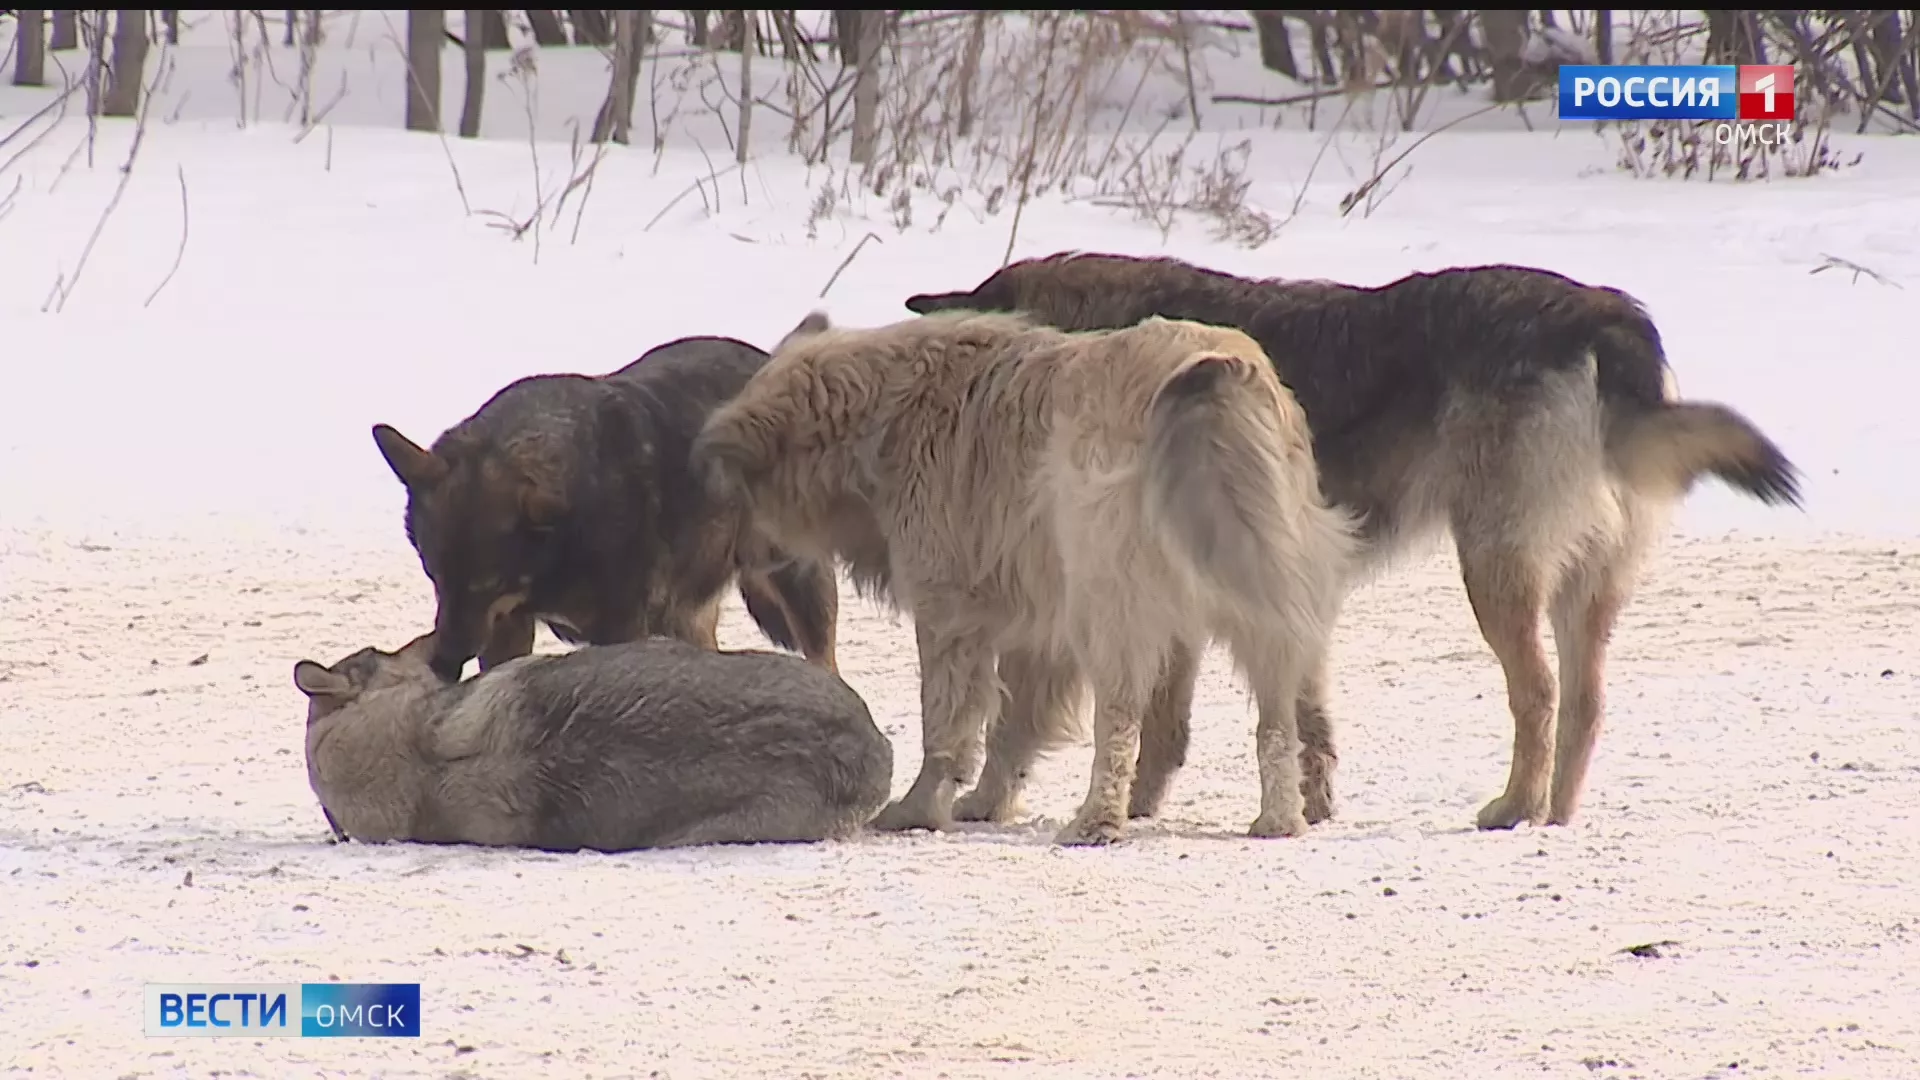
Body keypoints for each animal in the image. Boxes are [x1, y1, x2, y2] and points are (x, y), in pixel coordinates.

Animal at [687, 305, 1351, 841]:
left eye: (739, 496)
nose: (736, 562)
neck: (885, 418)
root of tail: (1215, 368)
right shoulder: (1035, 631)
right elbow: (1013, 730)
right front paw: (986, 802)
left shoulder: (950, 613)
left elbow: (947, 726)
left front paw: (920, 809)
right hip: (1271, 589)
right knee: (1281, 717)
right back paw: (1287, 814)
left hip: (1113, 602)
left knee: (1120, 721)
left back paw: (1097, 821)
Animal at [906, 251, 1804, 834]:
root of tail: (1602, 315)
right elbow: (1240, 721)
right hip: (1581, 593)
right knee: (1584, 703)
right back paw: (1553, 815)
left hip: (1493, 574)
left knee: (1539, 695)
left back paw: (1514, 808)